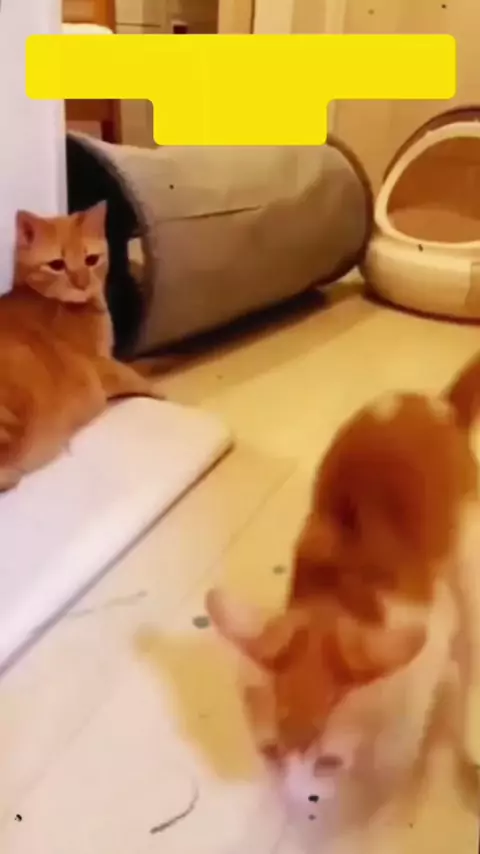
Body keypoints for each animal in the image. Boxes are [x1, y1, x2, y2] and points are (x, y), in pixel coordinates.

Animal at [0, 201, 161, 491]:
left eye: (91, 260)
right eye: (57, 264)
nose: (82, 283)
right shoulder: (99, 364)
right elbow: (132, 374)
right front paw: (158, 388)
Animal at [205, 354, 480, 807]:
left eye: (327, 762)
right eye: (271, 751)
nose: (300, 800)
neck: (339, 594)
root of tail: (433, 405)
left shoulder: (428, 633)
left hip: (467, 540)